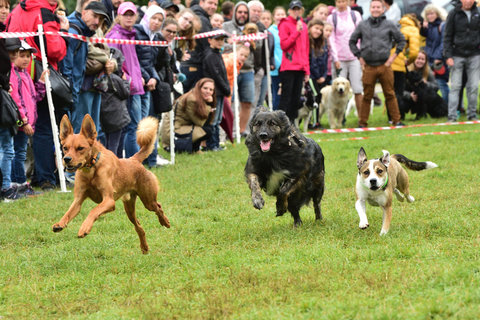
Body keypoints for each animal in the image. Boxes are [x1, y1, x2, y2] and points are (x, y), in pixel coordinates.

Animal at [52, 114, 169, 254]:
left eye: (80, 148)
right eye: (65, 148)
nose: (66, 159)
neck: (91, 170)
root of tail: (134, 159)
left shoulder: (109, 200)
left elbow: (93, 210)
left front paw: (84, 228)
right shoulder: (78, 200)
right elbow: (68, 213)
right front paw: (60, 224)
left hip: (148, 201)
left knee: (158, 207)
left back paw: (165, 222)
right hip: (129, 209)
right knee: (139, 227)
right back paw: (144, 247)